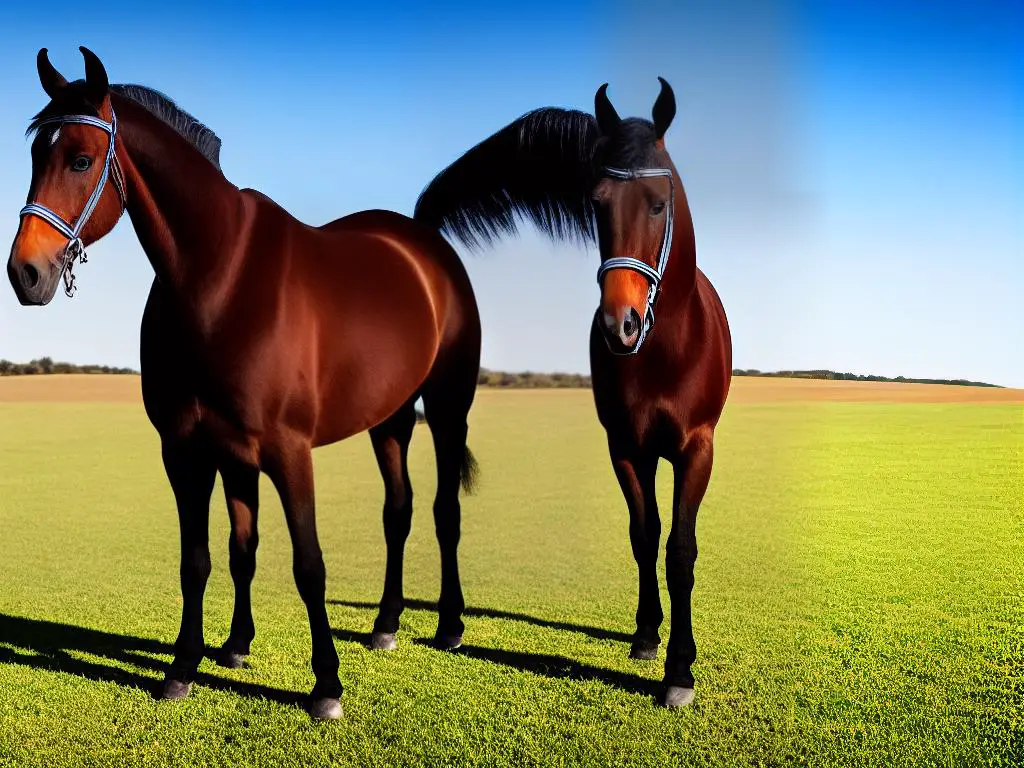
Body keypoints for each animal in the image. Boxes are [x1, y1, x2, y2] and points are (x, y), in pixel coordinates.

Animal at [8, 48, 481, 720]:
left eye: (79, 158)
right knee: (399, 509)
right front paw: (200, 659)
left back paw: (449, 626)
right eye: (33, 155)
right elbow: (216, 555)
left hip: (446, 407)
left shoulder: (287, 451)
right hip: (387, 420)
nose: (25, 272)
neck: (219, 278)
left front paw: (326, 687)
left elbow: (307, 564)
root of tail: (424, 248)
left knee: (444, 511)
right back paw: (386, 624)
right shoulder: (195, 451)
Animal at [411, 76, 733, 708]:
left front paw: (680, 672)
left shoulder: (696, 448)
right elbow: (644, 537)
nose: (619, 325)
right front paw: (650, 638)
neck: (664, 348)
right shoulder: (625, 449)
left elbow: (681, 549)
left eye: (659, 204)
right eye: (597, 204)